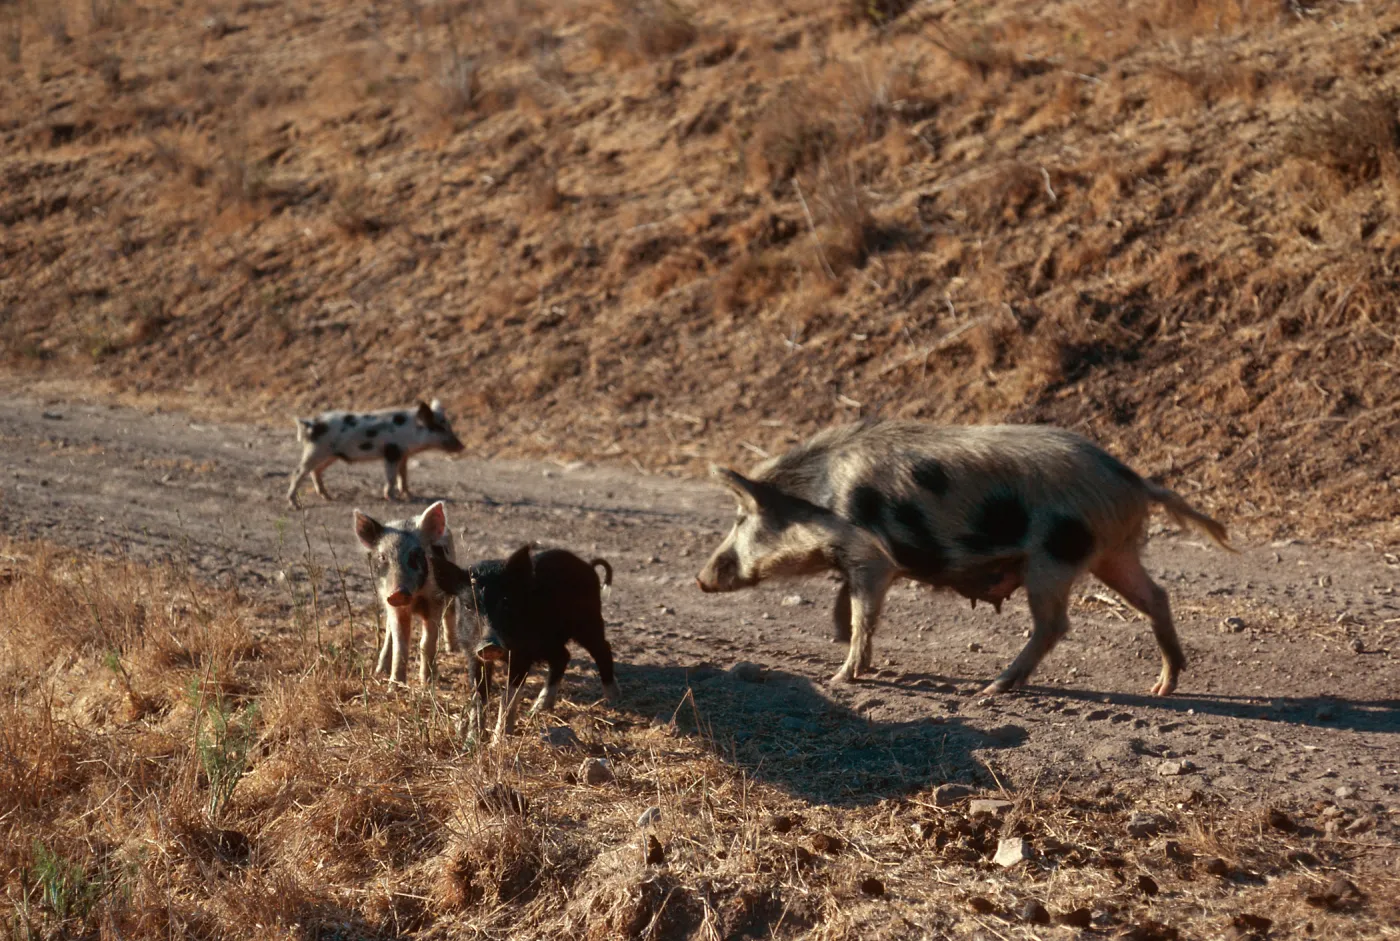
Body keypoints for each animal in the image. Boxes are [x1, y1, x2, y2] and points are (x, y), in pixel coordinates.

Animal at [288, 399, 465, 507]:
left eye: (448, 426)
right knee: (298, 471)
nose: (462, 446)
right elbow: (391, 477)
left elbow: (403, 477)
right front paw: (393, 498)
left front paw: (411, 496)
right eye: (440, 428)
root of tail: (312, 424)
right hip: (315, 450)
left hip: (331, 455)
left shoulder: (403, 455)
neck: (410, 432)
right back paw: (294, 504)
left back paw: (329, 497)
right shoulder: (392, 452)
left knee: (315, 471)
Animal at [353, 500, 459, 685]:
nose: (398, 593)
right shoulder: (393, 605)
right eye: (382, 557)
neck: (415, 599)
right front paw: (394, 686)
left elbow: (427, 642)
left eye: (415, 555)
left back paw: (452, 650)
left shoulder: (434, 600)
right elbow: (400, 645)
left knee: (450, 612)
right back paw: (380, 671)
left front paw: (427, 682)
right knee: (389, 632)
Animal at [430, 543, 619, 736]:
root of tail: (588, 566)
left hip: (589, 622)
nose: (489, 644)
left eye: (505, 602)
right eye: (468, 606)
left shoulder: (522, 655)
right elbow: (479, 695)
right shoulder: (472, 653)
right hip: (549, 641)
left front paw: (500, 739)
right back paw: (538, 709)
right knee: (563, 656)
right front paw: (473, 738)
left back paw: (613, 701)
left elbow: (508, 697)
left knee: (603, 650)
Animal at [696, 421, 1232, 696]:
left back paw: (993, 688)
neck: (822, 500)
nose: (700, 578)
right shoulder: (859, 563)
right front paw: (838, 641)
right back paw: (1162, 687)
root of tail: (1133, 482)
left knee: (1054, 625)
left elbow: (863, 613)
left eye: (741, 518)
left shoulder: (871, 557)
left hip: (1053, 558)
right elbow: (846, 602)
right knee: (1157, 597)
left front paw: (840, 676)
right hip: (1112, 553)